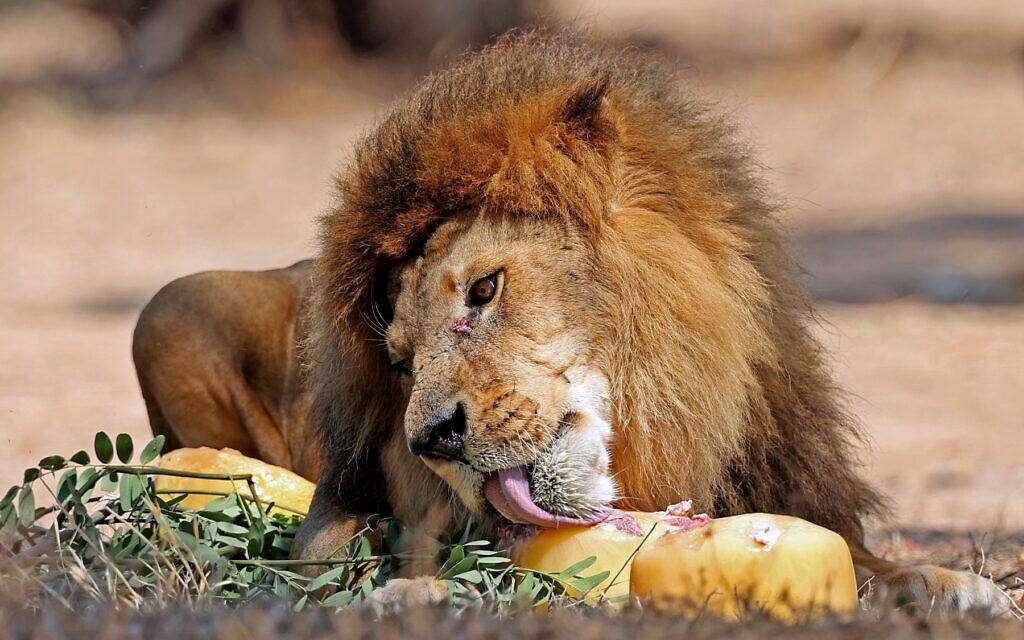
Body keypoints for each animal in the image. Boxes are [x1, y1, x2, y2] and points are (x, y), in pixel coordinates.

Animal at [133, 32, 1008, 615]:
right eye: (401, 364)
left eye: (484, 290)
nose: (432, 441)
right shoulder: (348, 511)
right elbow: (347, 560)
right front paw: (407, 594)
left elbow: (870, 560)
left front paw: (957, 585)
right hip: (169, 307)